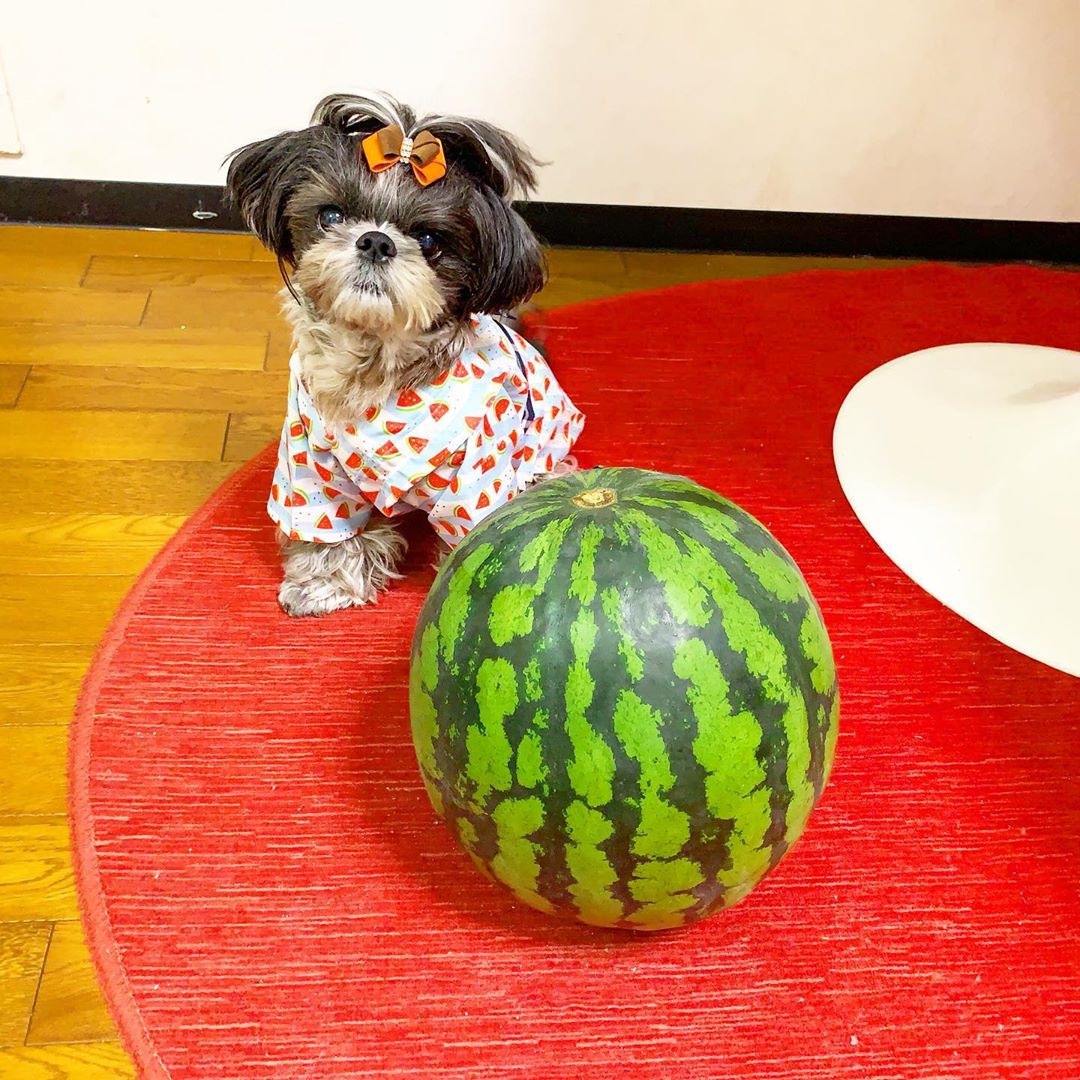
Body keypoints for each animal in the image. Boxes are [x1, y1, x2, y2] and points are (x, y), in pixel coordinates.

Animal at [222, 95, 587, 617]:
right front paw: (323, 584)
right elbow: (327, 529)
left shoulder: (477, 476)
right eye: (331, 216)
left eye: (430, 241)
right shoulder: (309, 462)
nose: (376, 240)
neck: (374, 365)